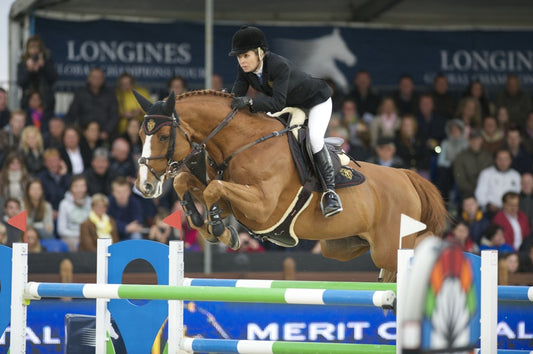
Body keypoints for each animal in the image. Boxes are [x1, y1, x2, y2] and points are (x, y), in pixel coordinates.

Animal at [135, 89, 446, 282]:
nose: (145, 186)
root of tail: (406, 176)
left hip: (389, 246)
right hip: (343, 246)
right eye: (139, 134)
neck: (244, 143)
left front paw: (221, 231)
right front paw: (203, 223)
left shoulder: (262, 208)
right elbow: (189, 183)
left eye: (163, 136)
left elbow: (213, 189)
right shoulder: (235, 201)